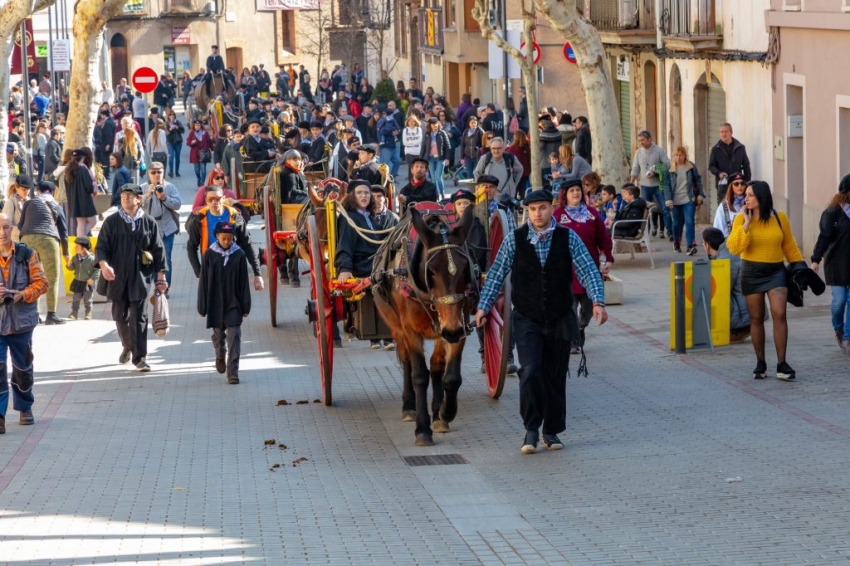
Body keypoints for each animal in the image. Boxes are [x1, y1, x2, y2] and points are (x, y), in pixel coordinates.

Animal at [372, 209, 476, 448]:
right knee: (407, 362)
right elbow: (419, 374)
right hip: (397, 328)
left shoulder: (459, 325)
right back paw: (409, 406)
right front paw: (422, 429)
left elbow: (450, 375)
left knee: (436, 366)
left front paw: (445, 413)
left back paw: (437, 413)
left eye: (465, 269)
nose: (451, 331)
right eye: (432, 271)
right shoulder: (411, 331)